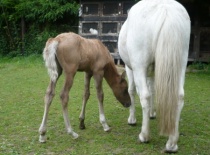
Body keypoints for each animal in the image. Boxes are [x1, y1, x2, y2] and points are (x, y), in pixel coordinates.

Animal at [118, 0, 190, 153]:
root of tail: (165, 7)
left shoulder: (129, 68)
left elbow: (131, 90)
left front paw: (132, 119)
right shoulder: (153, 71)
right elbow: (153, 90)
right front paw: (152, 113)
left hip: (139, 67)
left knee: (144, 96)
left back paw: (144, 136)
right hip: (180, 65)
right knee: (179, 97)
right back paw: (171, 144)